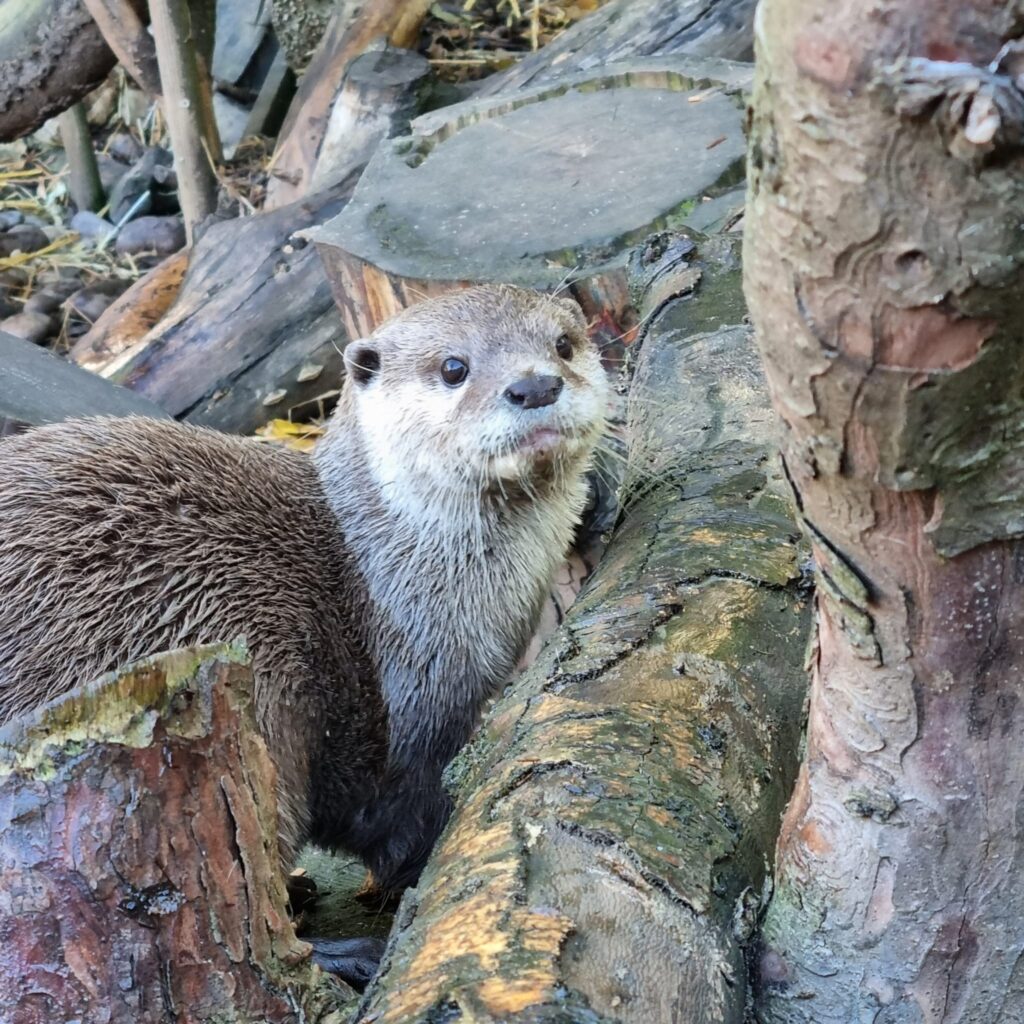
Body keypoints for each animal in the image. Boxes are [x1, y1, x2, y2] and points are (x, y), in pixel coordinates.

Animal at [0, 284, 606, 970]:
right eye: (455, 367)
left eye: (564, 345)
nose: (534, 385)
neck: (384, 574)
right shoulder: (409, 721)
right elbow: (402, 820)